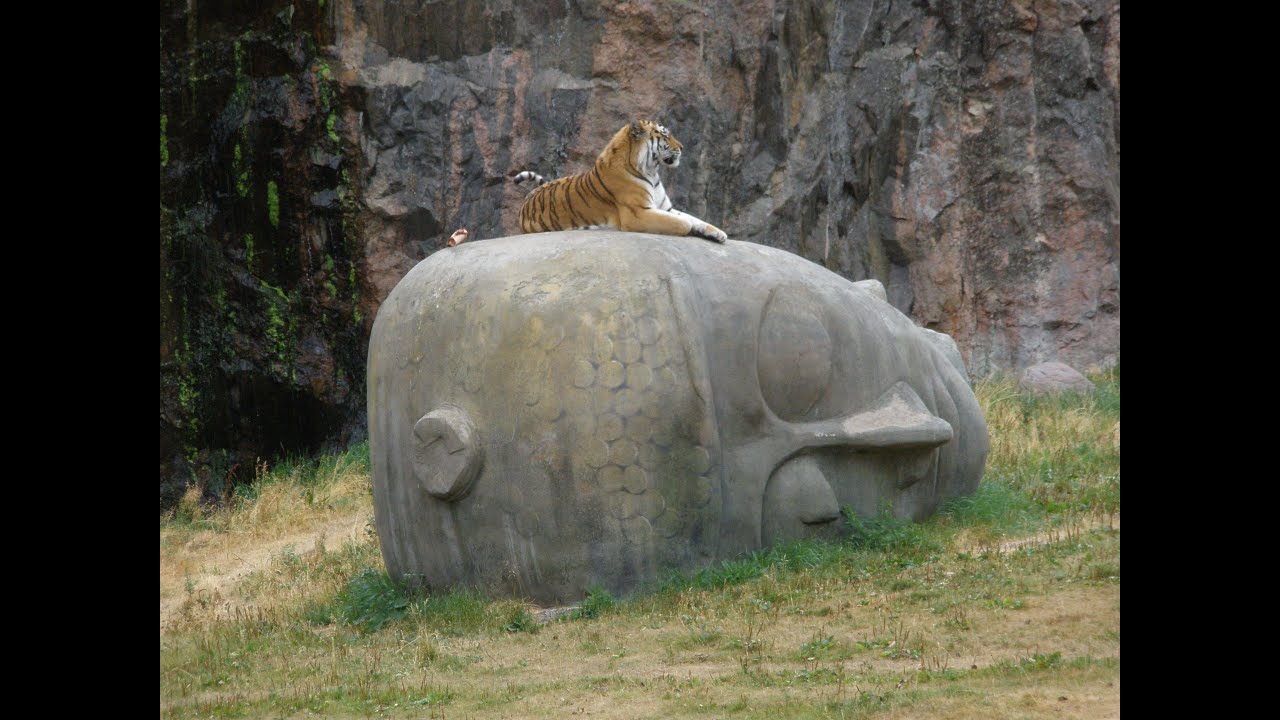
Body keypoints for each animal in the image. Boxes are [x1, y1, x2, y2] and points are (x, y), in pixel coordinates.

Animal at [511, 120, 729, 243]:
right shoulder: (637, 213)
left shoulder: (665, 208)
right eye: (665, 134)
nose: (682, 147)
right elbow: (683, 222)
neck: (652, 170)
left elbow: (695, 219)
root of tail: (527, 199)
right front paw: (691, 228)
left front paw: (718, 233)